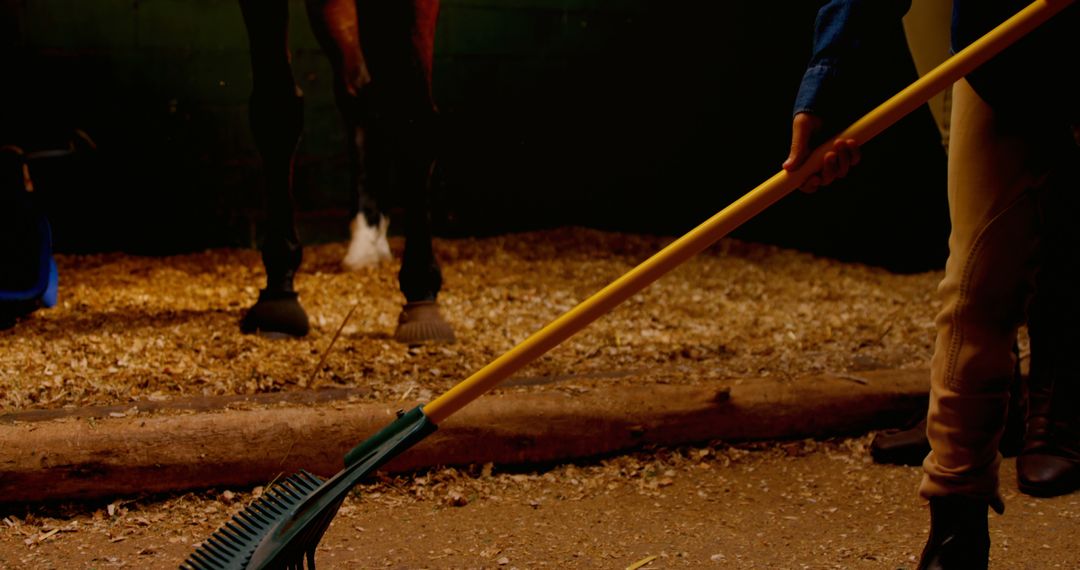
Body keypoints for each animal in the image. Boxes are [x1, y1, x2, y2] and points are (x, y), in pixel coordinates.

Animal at [236, 0, 455, 345]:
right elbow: (277, 107)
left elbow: (413, 118)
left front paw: (422, 299)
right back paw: (366, 240)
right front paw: (278, 295)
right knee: (360, 92)